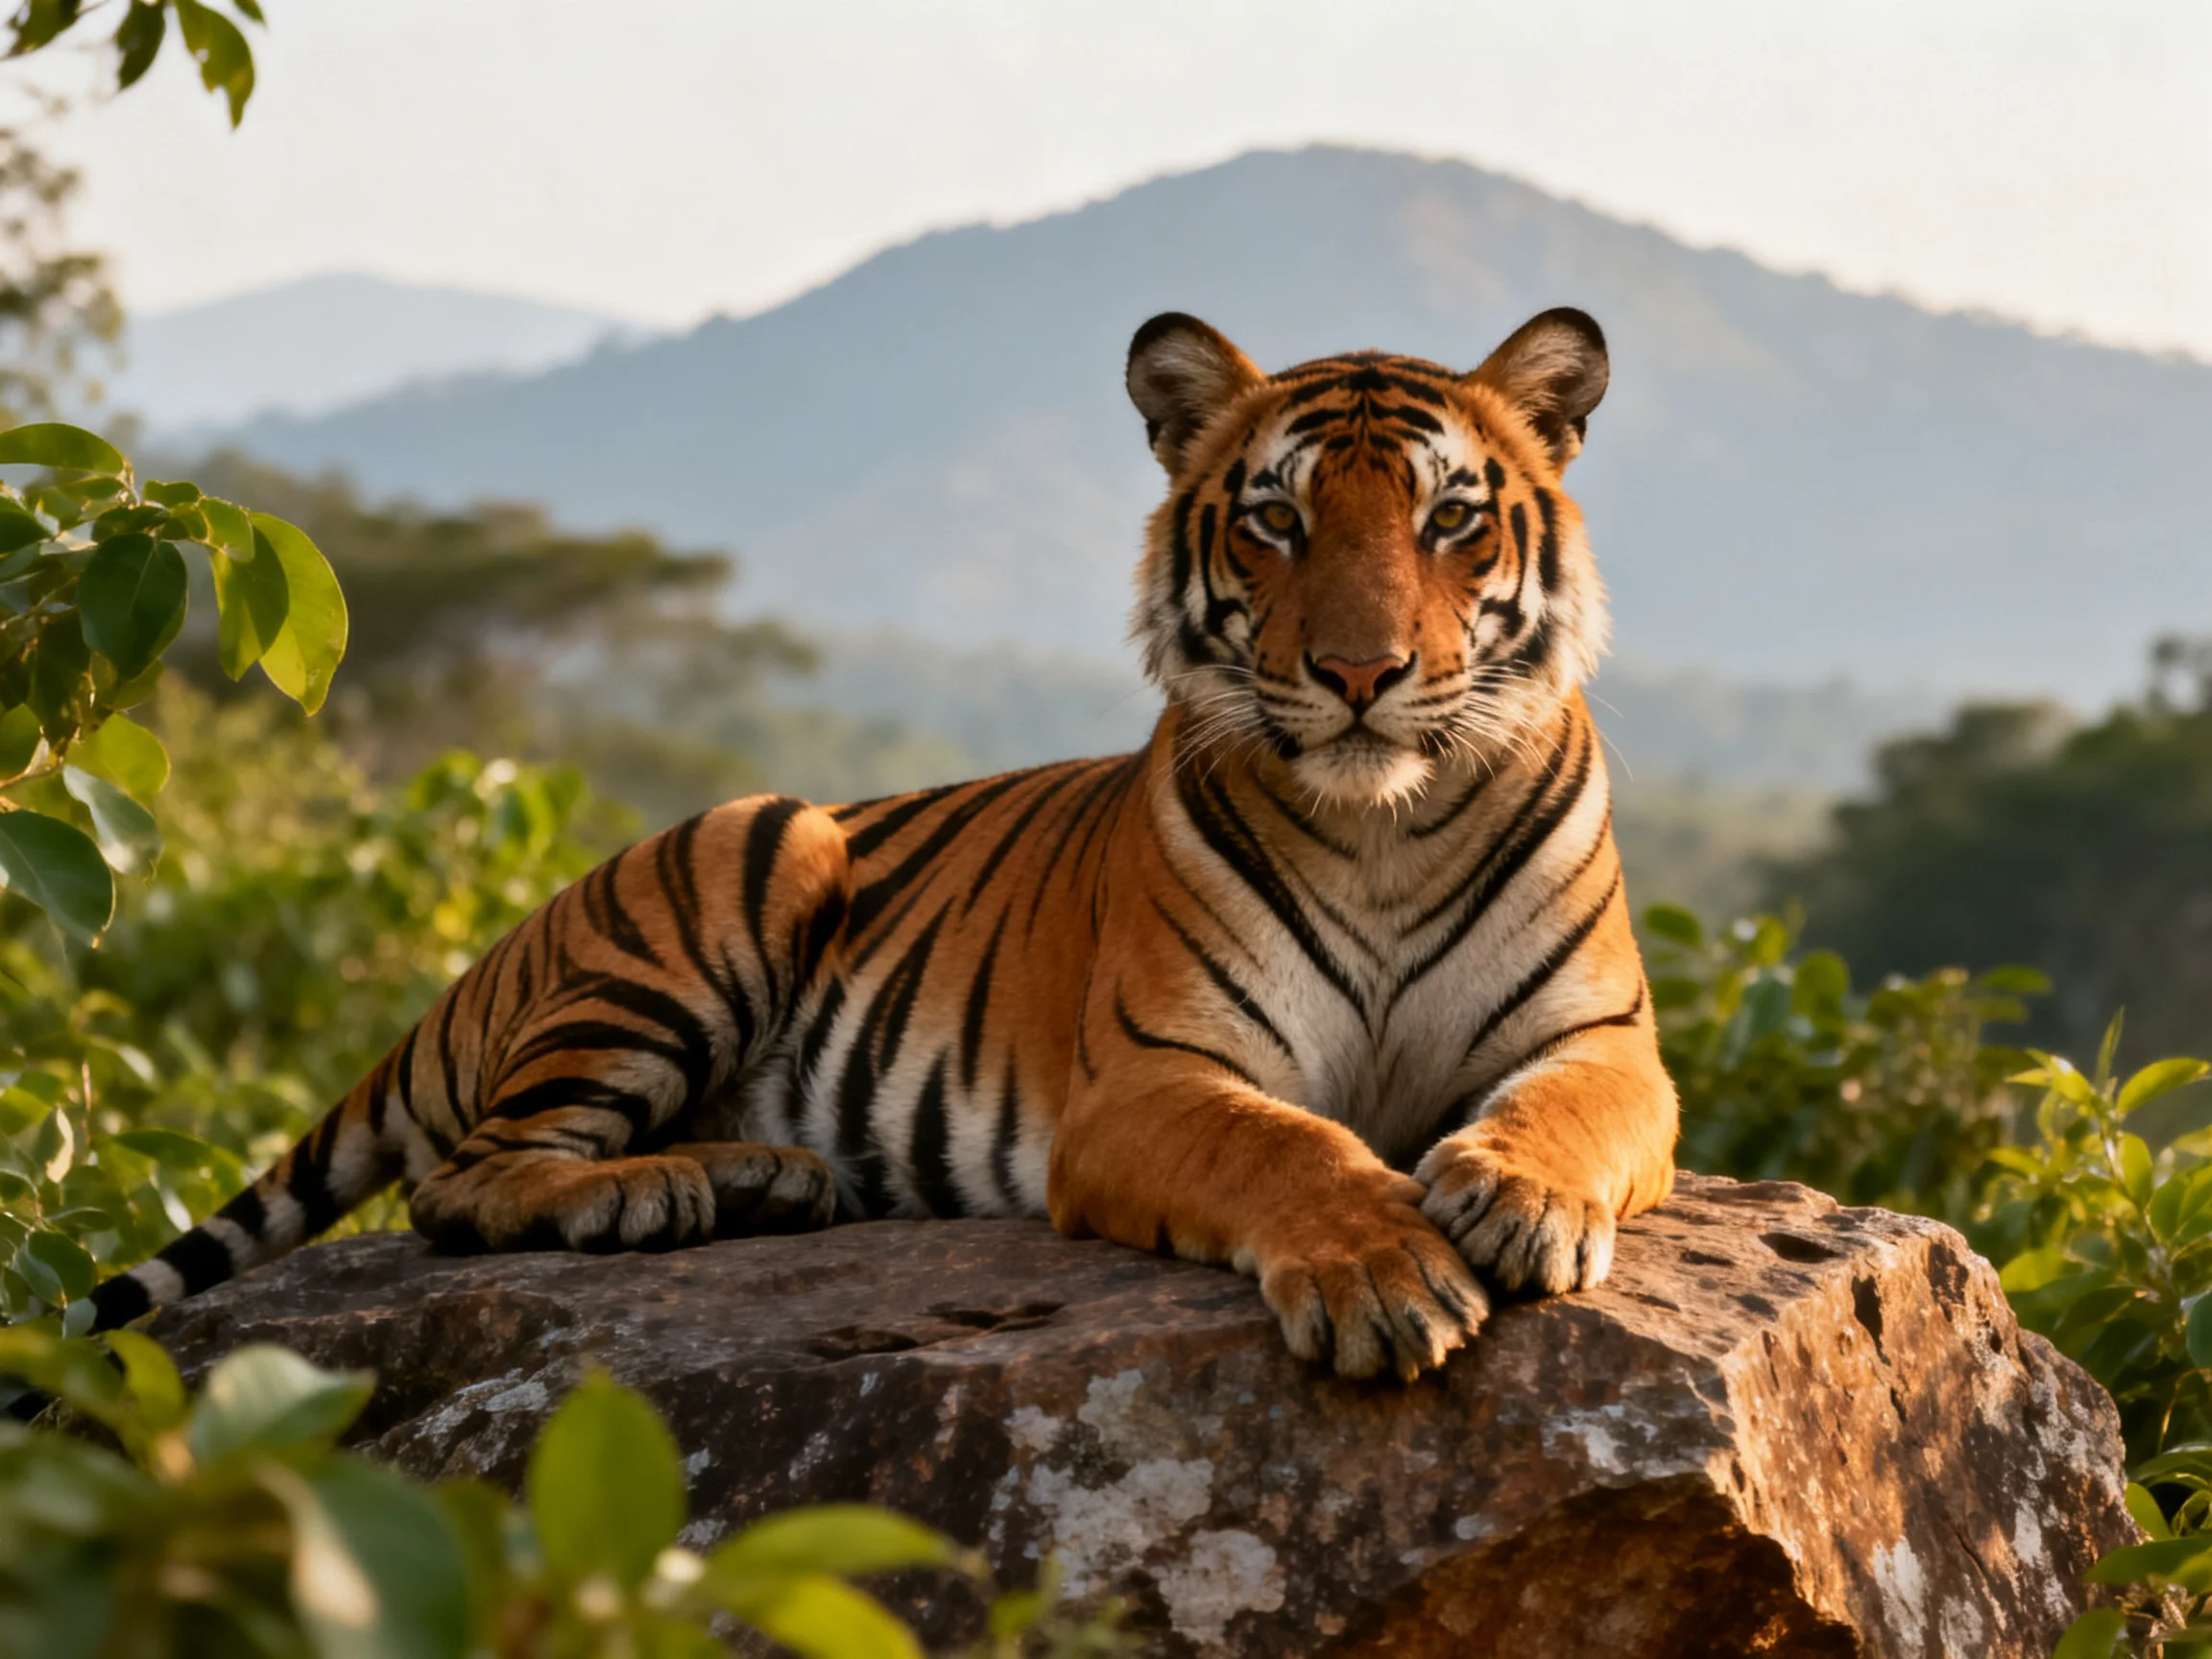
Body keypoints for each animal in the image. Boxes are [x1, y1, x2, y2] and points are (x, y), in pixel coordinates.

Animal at [82, 306, 1678, 1383]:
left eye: (1452, 519)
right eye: (1277, 521)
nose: (1359, 673)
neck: (1382, 823)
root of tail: (503, 952)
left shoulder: (1604, 1041)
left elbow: (1570, 1115)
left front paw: (1519, 1198)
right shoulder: (1153, 1080)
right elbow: (1289, 1145)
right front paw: (1384, 1274)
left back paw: (761, 1179)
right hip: (751, 851)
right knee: (464, 1176)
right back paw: (655, 1194)